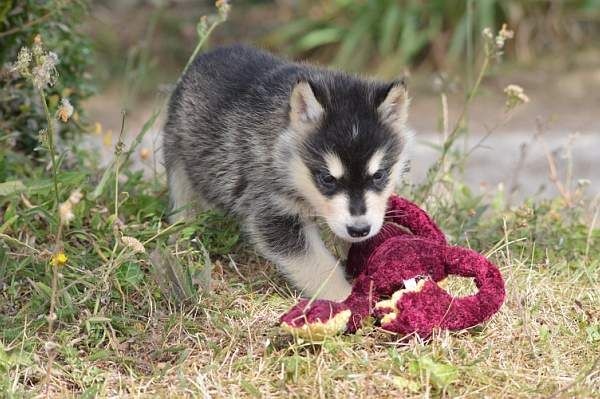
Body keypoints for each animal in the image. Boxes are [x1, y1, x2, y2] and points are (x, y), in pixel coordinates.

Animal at [162, 44, 410, 300]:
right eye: (327, 179)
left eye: (379, 175)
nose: (359, 230)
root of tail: (210, 53)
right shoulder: (272, 213)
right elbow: (317, 265)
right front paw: (346, 296)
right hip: (179, 160)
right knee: (183, 204)